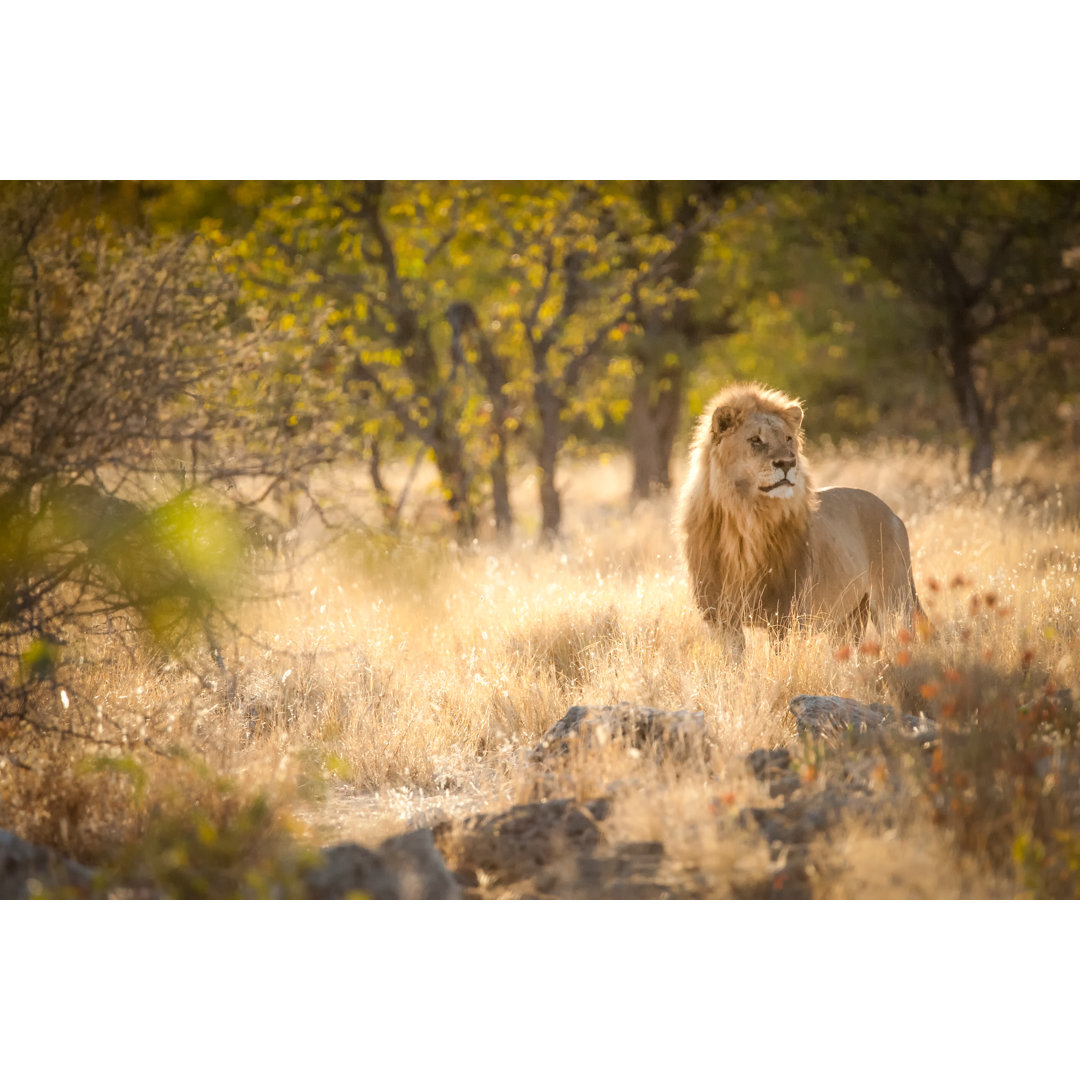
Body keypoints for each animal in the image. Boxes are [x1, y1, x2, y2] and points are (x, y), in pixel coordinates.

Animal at [673, 382, 920, 648]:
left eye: (788, 439)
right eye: (755, 440)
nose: (787, 463)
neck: (747, 518)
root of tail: (892, 513)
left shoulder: (787, 615)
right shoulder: (721, 616)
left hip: (893, 602)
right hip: (847, 619)